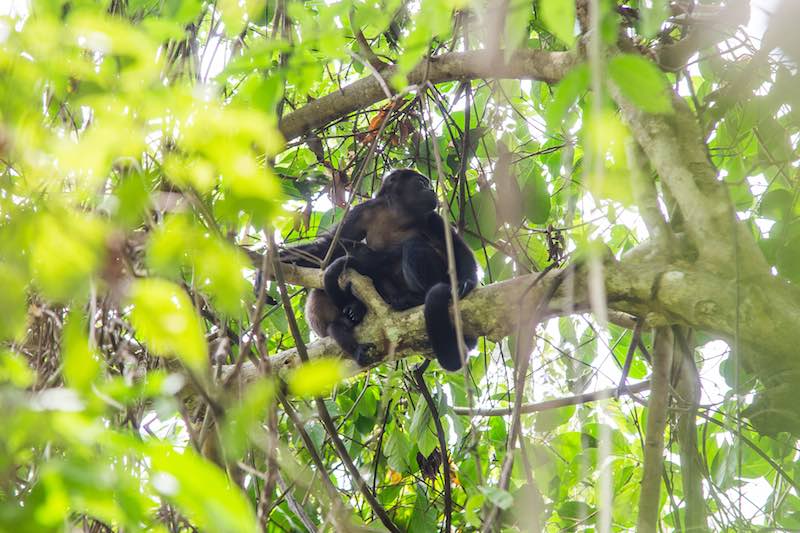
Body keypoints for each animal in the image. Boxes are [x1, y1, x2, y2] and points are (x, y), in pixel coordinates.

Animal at [282, 168, 478, 372]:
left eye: (427, 184)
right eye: (421, 183)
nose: (432, 190)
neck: (399, 214)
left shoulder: (432, 218)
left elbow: (456, 247)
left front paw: (467, 282)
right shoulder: (362, 211)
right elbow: (328, 247)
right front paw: (278, 259)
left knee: (413, 246)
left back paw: (417, 298)